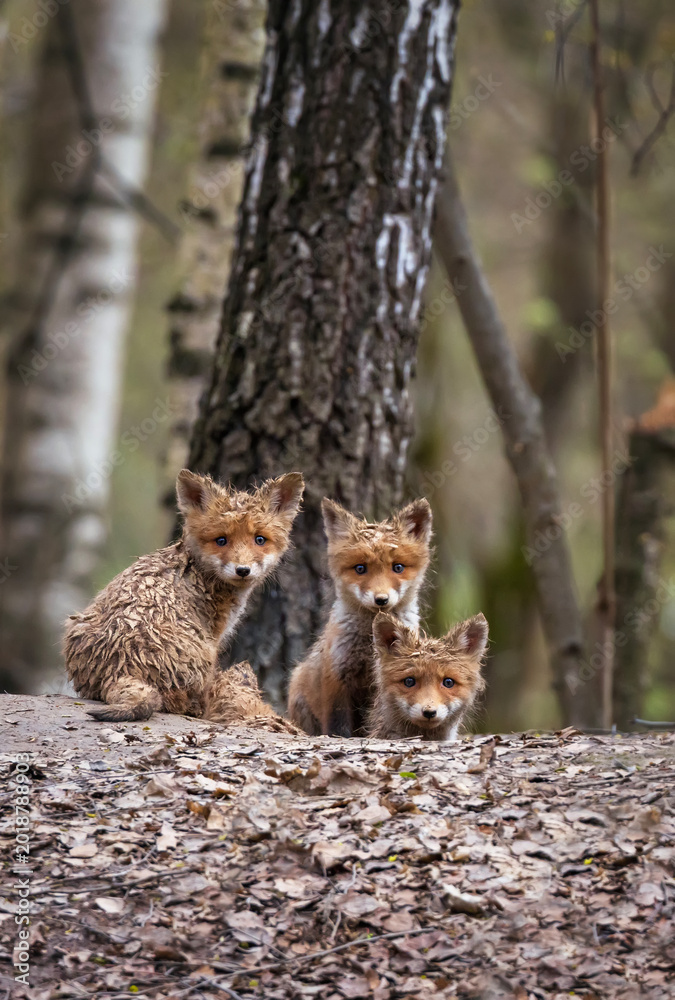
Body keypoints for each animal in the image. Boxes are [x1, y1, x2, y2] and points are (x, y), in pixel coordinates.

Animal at [63, 469, 304, 723]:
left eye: (259, 540)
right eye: (221, 540)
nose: (242, 570)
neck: (197, 570)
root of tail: (118, 667)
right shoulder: (215, 636)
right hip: (204, 656)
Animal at [287, 497, 432, 737]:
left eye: (398, 567)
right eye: (360, 568)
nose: (381, 599)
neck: (368, 644)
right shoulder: (337, 676)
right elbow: (338, 726)